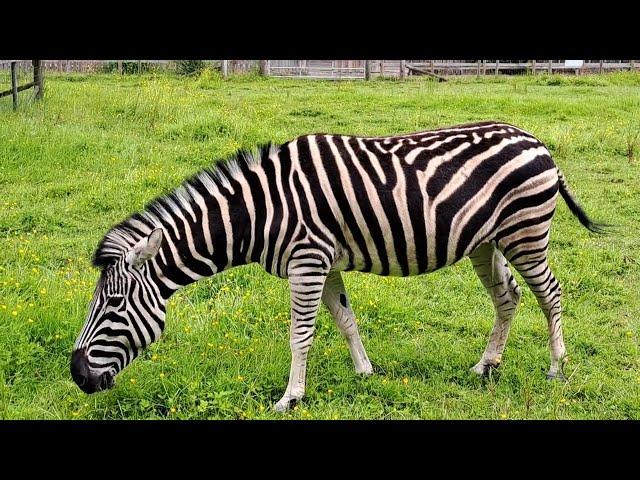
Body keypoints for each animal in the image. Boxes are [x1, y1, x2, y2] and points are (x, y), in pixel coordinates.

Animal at [71, 121, 604, 412]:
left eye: (113, 305)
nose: (77, 376)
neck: (259, 211)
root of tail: (537, 141)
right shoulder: (322, 263)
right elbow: (345, 319)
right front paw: (365, 372)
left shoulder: (306, 260)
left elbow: (299, 334)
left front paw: (291, 397)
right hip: (486, 241)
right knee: (508, 296)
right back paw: (485, 365)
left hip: (525, 232)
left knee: (550, 293)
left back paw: (556, 367)